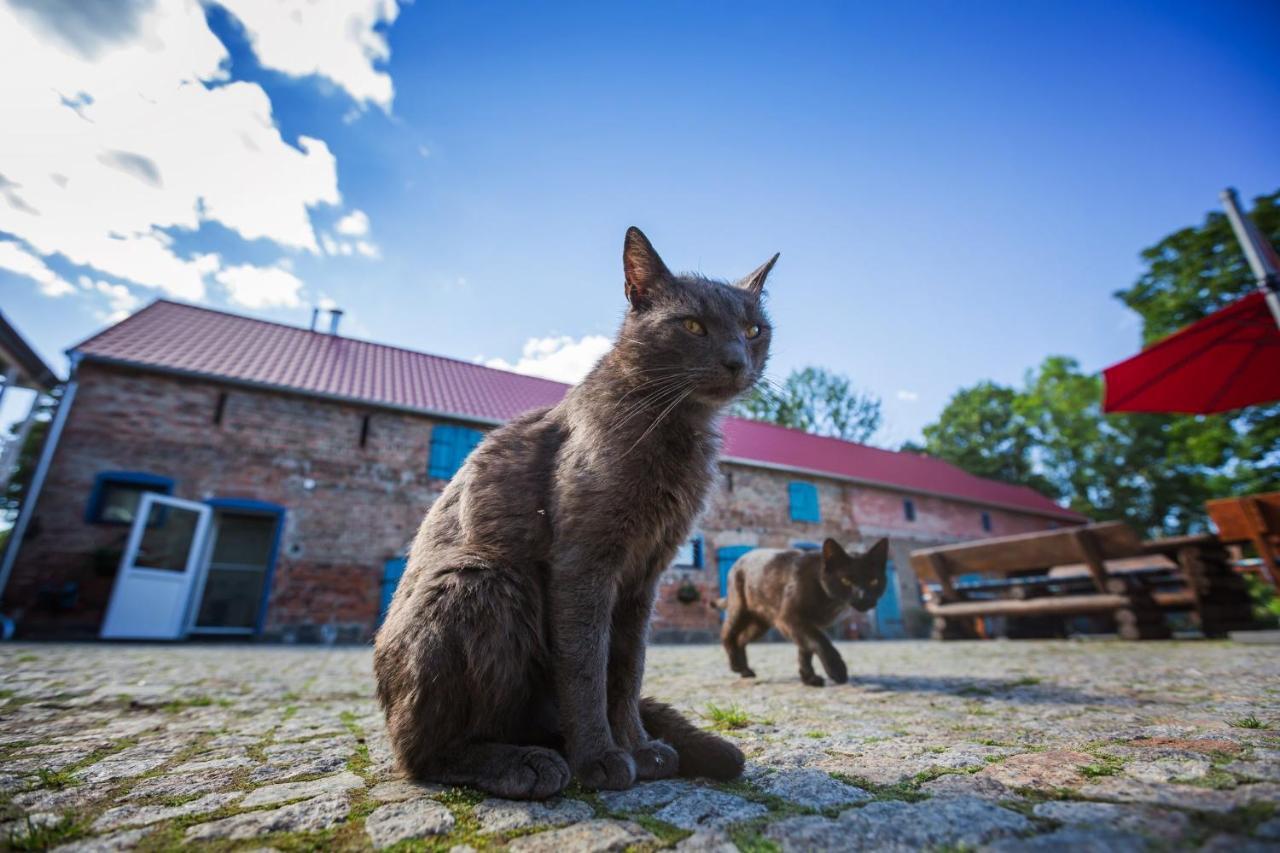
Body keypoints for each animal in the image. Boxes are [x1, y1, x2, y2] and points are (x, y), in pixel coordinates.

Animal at [373, 225, 778, 799]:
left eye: (753, 329)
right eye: (693, 325)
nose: (737, 361)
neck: (673, 426)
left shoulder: (645, 577)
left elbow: (626, 669)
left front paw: (638, 747)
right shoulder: (584, 565)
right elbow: (587, 666)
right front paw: (601, 758)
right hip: (481, 579)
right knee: (422, 753)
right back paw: (525, 762)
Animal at [721, 537, 890, 686]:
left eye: (873, 581)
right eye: (846, 581)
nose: (864, 597)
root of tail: (739, 560)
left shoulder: (805, 625)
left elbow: (805, 650)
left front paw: (808, 678)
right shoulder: (790, 619)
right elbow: (820, 641)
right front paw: (837, 669)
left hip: (760, 624)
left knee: (741, 639)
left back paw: (745, 670)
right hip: (739, 610)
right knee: (727, 634)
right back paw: (735, 664)